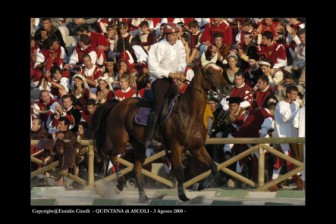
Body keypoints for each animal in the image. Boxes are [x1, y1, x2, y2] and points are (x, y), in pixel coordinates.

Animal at [90, 62, 230, 201]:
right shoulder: (176, 148)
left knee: (136, 169)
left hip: (139, 146)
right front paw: (182, 195)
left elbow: (213, 167)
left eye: (221, 71)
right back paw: (120, 184)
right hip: (120, 142)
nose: (227, 88)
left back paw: (143, 196)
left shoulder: (196, 148)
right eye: (210, 72)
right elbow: (180, 173)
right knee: (111, 155)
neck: (189, 113)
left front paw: (201, 185)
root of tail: (116, 105)